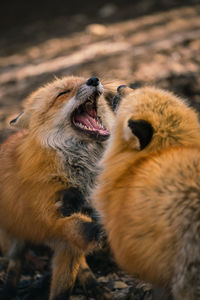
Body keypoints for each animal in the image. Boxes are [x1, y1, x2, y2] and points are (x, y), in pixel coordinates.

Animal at [0, 75, 114, 300]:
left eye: (83, 79)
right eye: (63, 93)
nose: (93, 79)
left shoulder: (67, 240)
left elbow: (64, 285)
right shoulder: (47, 215)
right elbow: (76, 225)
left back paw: (92, 283)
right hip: (11, 237)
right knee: (14, 263)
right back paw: (9, 290)